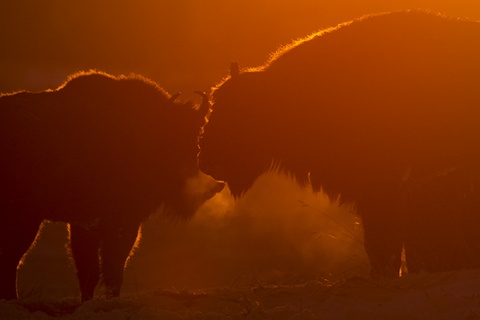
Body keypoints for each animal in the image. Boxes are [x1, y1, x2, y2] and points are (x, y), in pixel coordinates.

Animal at [0, 70, 225, 302]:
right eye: (178, 139)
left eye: (197, 136)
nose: (211, 187)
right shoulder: (122, 222)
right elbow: (111, 268)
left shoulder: (85, 225)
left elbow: (90, 270)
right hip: (26, 219)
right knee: (10, 260)